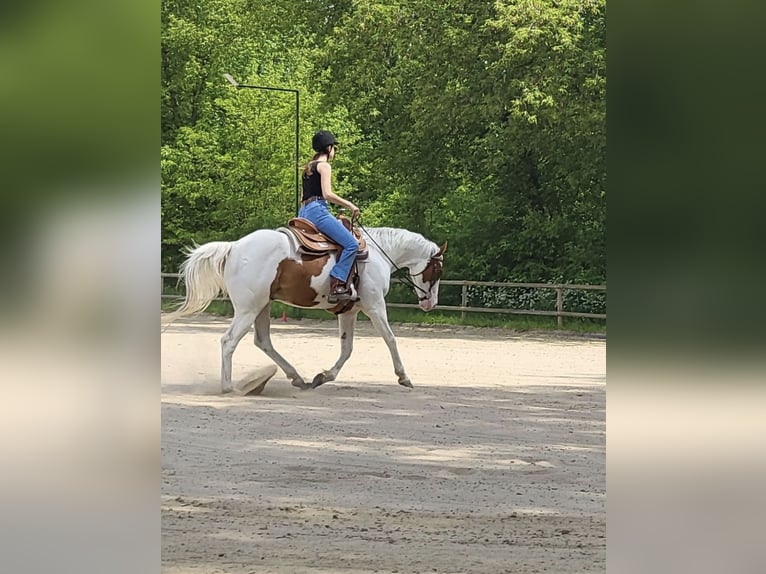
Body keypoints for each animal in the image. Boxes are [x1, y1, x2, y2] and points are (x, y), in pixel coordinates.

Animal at [165, 224, 447, 393]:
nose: (430, 303)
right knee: (229, 341)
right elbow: (390, 339)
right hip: (248, 309)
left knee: (263, 341)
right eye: (437, 269)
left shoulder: (350, 311)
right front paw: (403, 377)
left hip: (261, 306)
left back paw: (296, 377)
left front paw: (323, 377)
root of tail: (234, 247)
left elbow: (347, 349)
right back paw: (229, 387)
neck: (378, 254)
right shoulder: (375, 306)